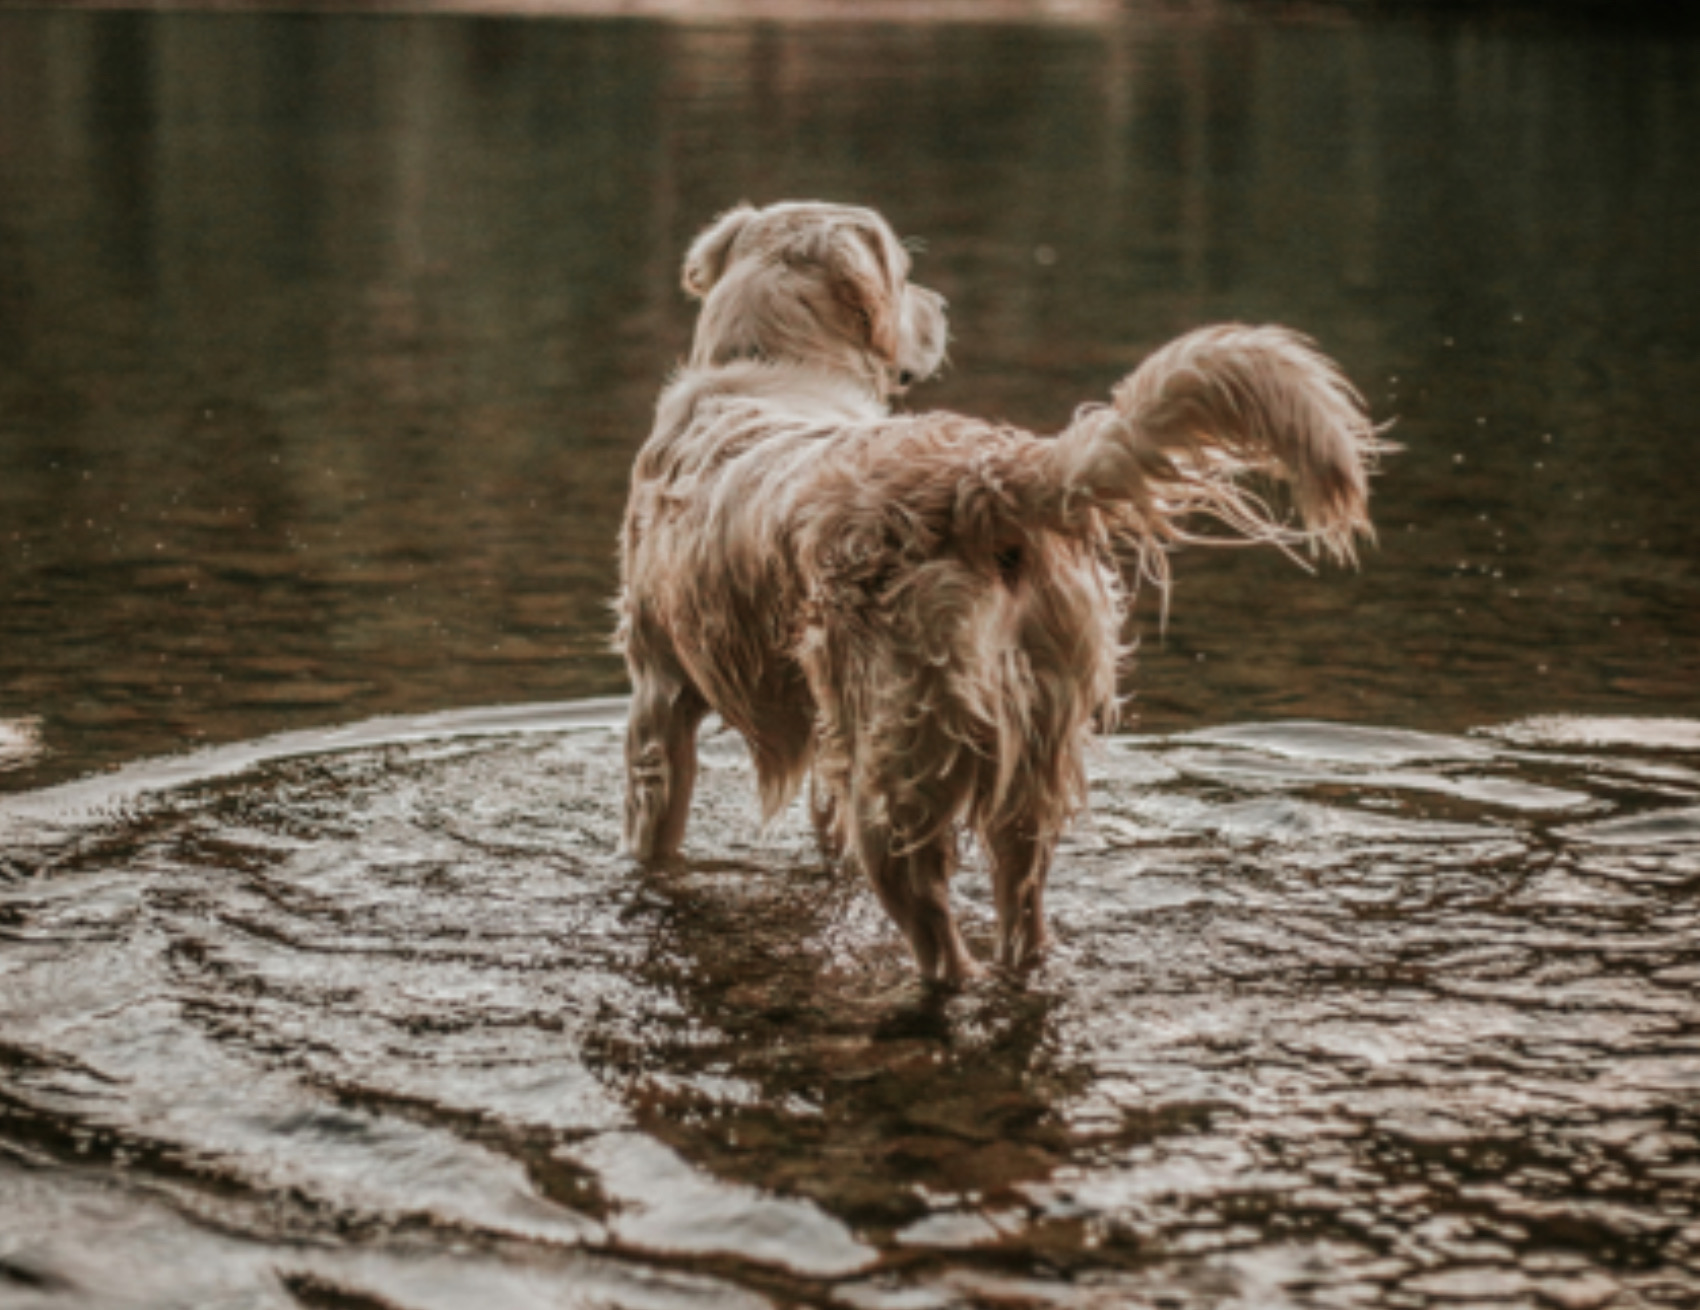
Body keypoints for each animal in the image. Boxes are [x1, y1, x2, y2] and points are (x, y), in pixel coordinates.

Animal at [618, 202, 1387, 985]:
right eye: (907, 274)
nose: (941, 306)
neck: (771, 369)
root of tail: (985, 479)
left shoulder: (658, 699)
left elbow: (653, 832)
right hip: (1029, 751)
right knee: (1022, 911)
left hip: (896, 773)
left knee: (942, 946)